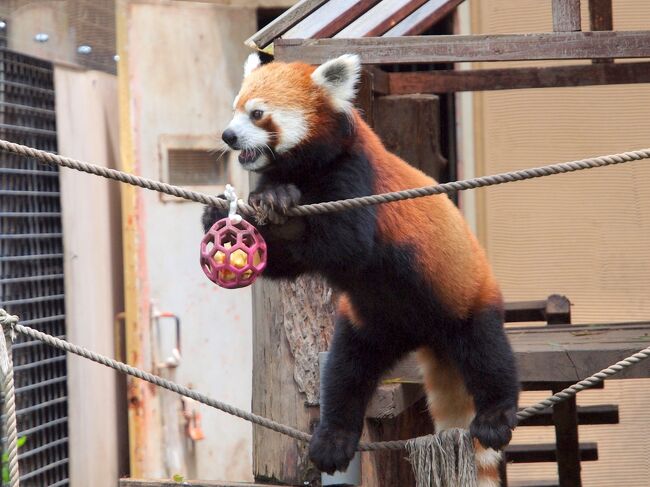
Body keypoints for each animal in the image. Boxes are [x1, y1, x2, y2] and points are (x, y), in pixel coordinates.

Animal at [202, 51, 516, 486]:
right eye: (235, 109)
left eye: (257, 113)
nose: (228, 136)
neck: (306, 168)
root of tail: (424, 333)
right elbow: (285, 262)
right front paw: (221, 213)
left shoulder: (354, 175)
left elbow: (345, 246)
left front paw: (282, 205)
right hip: (369, 324)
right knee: (345, 374)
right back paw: (333, 439)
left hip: (466, 296)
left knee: (487, 352)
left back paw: (496, 415)